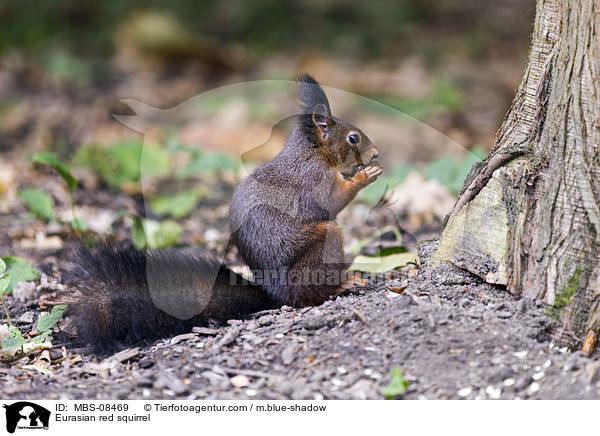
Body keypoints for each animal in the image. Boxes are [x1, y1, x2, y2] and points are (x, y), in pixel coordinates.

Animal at [58, 75, 382, 352]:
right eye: (353, 138)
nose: (376, 153)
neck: (314, 151)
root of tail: (278, 294)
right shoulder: (315, 178)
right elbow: (333, 200)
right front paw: (364, 177)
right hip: (323, 245)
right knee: (310, 293)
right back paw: (343, 284)